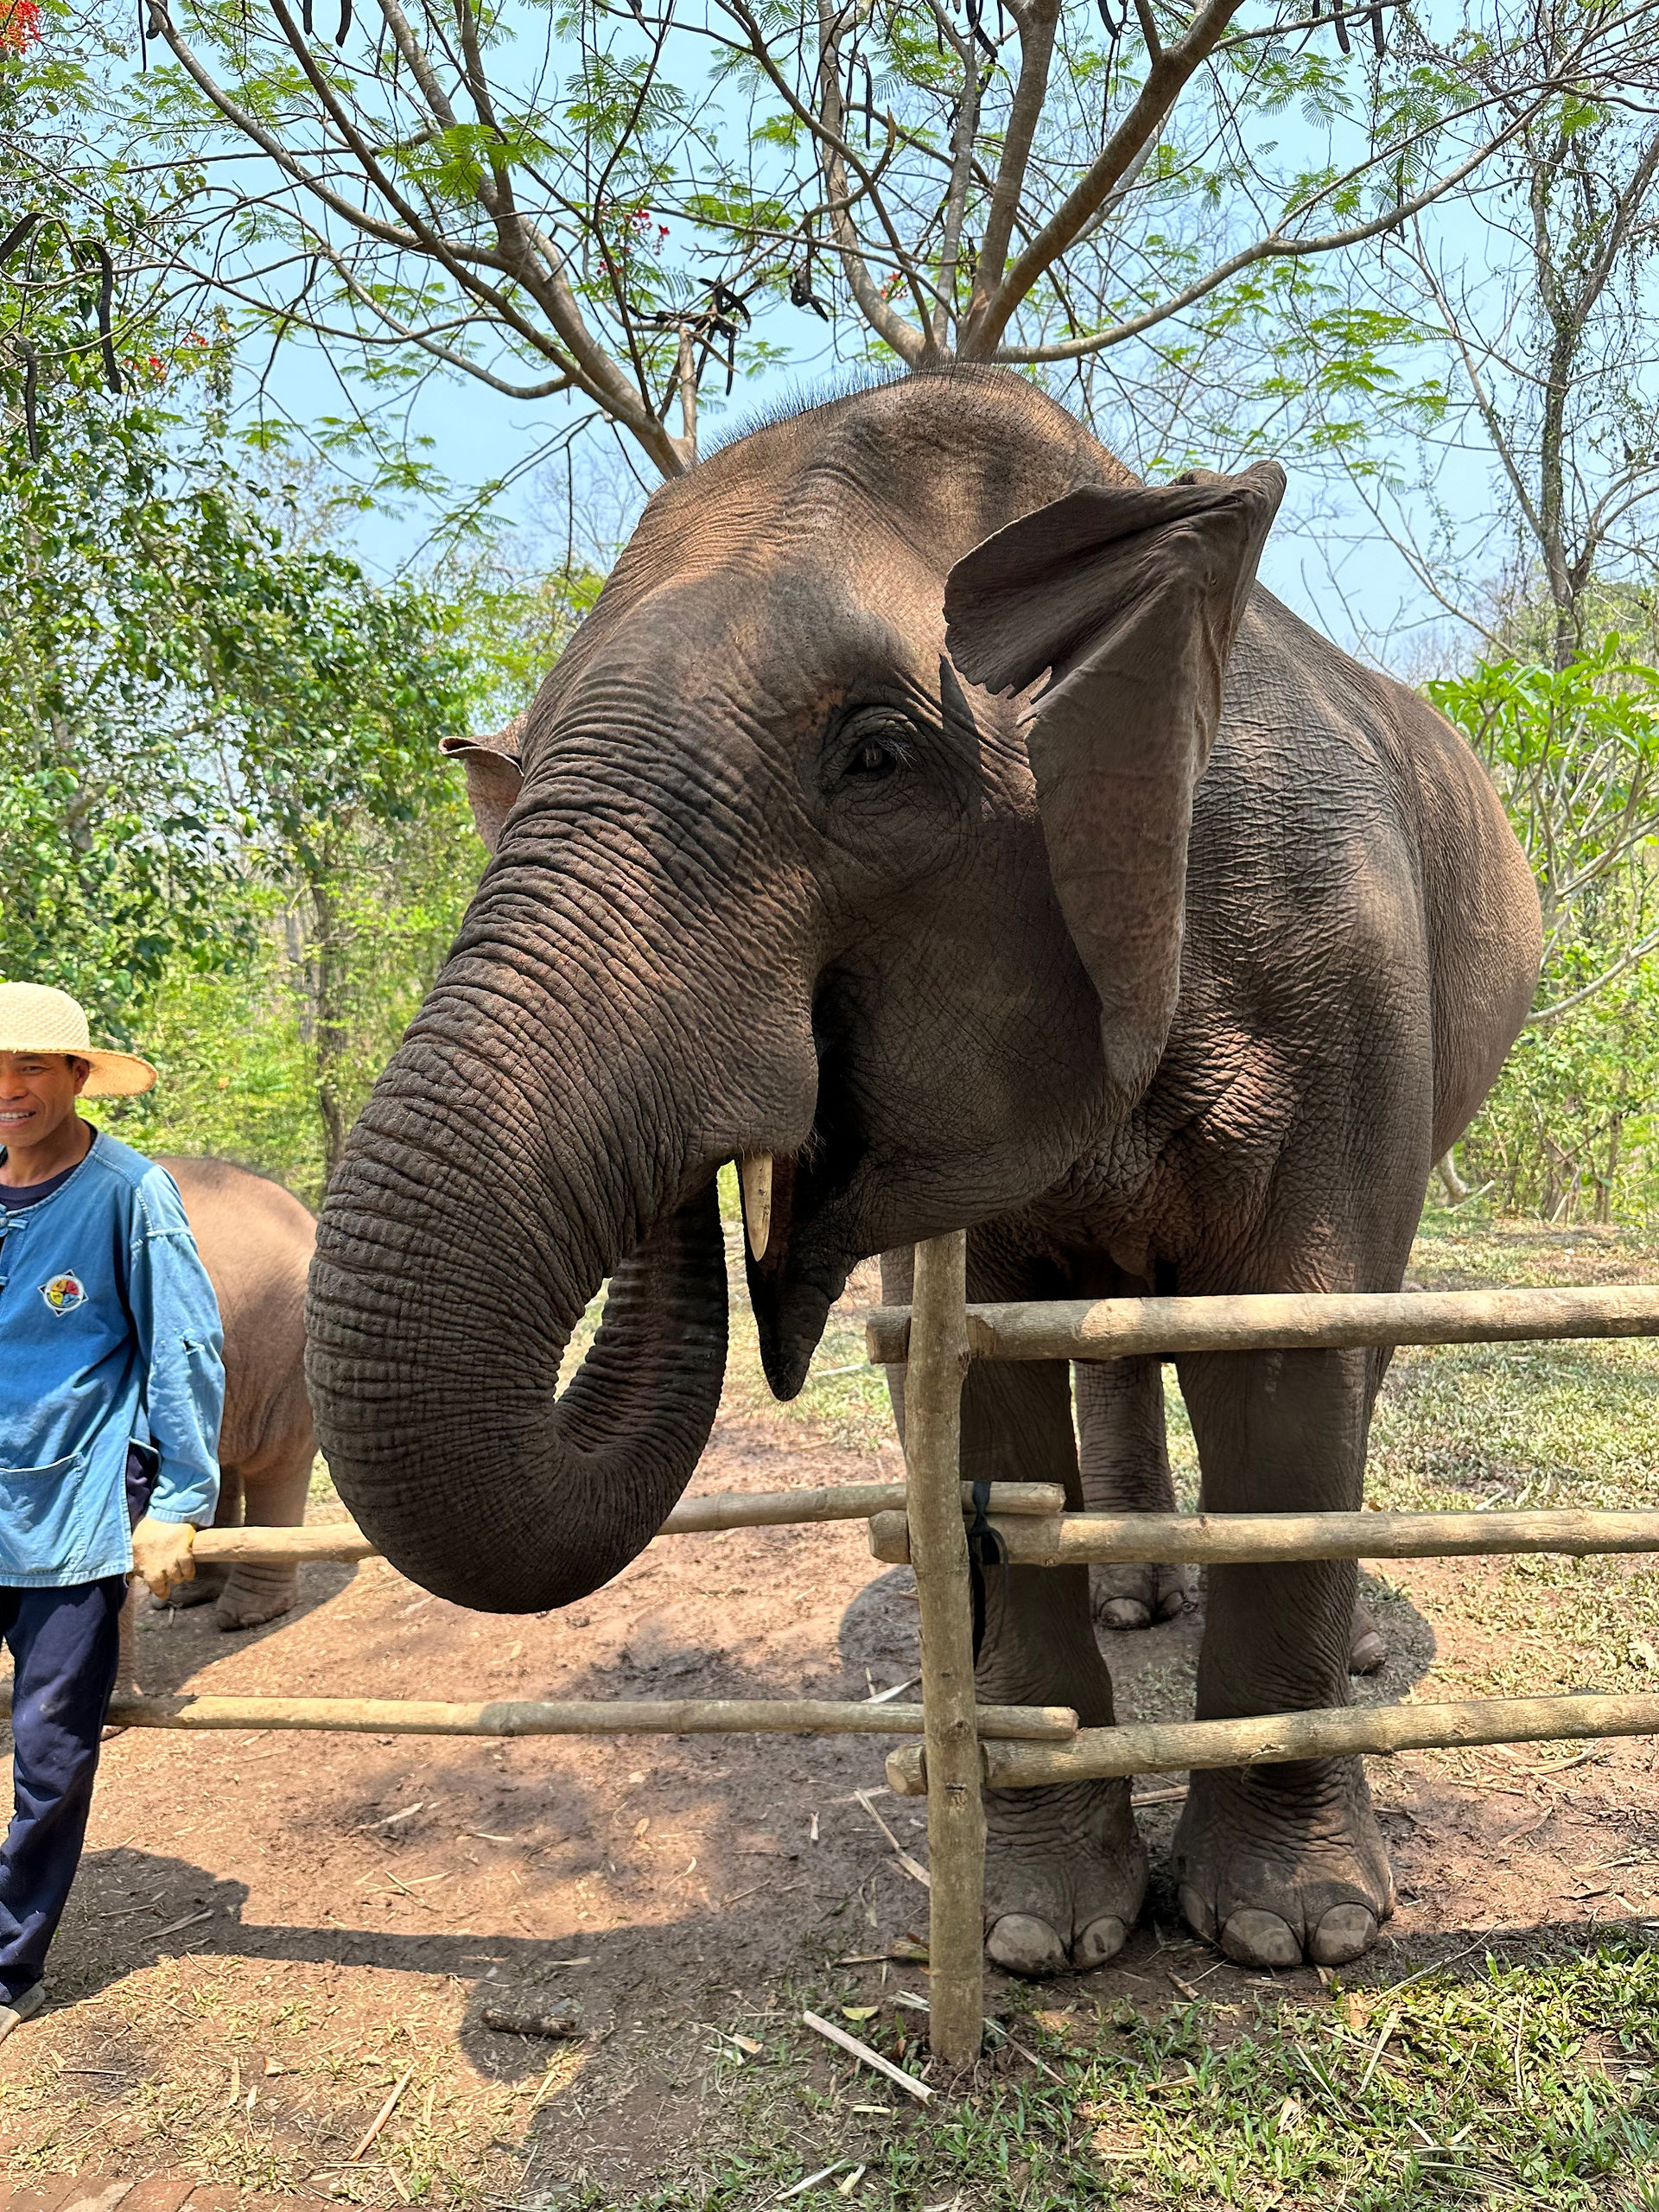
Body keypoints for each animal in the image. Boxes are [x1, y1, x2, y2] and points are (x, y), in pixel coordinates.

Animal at [305, 368, 1541, 1979]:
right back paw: (1138, 1595)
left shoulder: (1345, 970)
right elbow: (974, 1387)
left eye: (875, 758)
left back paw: (1347, 1652)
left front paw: (1291, 1933)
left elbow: (1289, 1358)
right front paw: (1038, 1937)